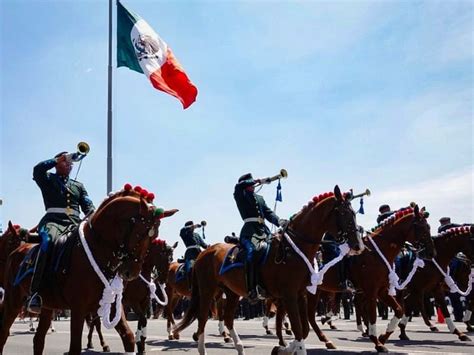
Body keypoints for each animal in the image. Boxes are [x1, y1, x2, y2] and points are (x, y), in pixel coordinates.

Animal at [0, 185, 178, 354]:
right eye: (141, 233)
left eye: (154, 235)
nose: (130, 272)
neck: (98, 247)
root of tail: (18, 250)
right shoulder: (79, 309)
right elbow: (75, 347)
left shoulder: (114, 304)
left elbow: (129, 337)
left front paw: (139, 345)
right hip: (13, 300)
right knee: (4, 333)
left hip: (47, 306)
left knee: (38, 340)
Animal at [174, 186, 362, 355]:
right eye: (343, 213)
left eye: (354, 213)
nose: (358, 245)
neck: (294, 249)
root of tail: (204, 253)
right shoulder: (289, 295)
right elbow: (299, 330)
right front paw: (288, 346)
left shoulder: (300, 294)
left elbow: (303, 330)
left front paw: (282, 348)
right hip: (207, 291)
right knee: (202, 318)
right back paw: (203, 347)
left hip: (232, 292)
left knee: (227, 318)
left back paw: (239, 347)